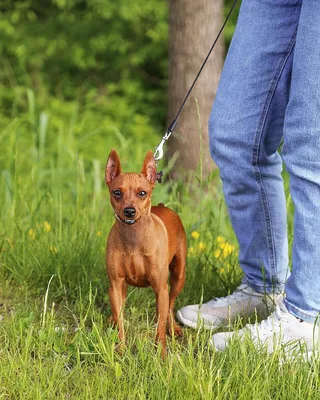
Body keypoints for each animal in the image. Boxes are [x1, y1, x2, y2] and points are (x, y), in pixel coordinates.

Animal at [105, 150, 186, 356]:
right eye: (117, 192)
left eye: (142, 193)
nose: (129, 211)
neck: (133, 238)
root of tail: (162, 205)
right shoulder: (115, 285)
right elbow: (121, 321)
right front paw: (121, 348)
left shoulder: (161, 288)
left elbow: (159, 326)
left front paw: (161, 354)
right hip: (123, 288)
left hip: (178, 276)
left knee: (170, 305)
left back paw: (173, 327)